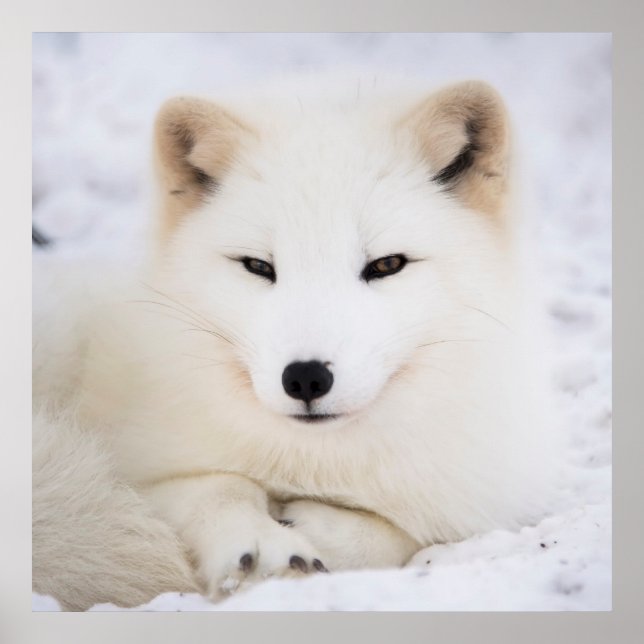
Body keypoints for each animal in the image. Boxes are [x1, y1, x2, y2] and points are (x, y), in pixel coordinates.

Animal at [33, 75, 559, 610]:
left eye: (387, 265)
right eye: (257, 266)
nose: (306, 377)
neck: (313, 462)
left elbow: (399, 534)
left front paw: (318, 531)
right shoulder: (141, 470)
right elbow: (215, 487)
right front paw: (261, 545)